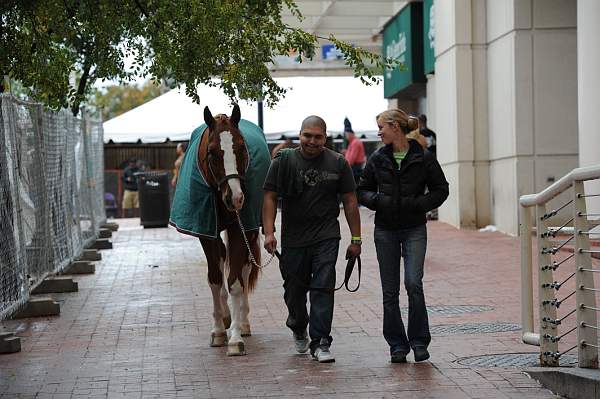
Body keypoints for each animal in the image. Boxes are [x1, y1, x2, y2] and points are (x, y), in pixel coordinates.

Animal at [170, 104, 270, 356]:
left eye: (242, 147)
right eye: (213, 152)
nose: (235, 198)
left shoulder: (239, 228)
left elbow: (235, 282)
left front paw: (235, 338)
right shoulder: (206, 232)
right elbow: (215, 279)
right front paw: (218, 330)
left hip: (249, 230)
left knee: (244, 268)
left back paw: (242, 322)